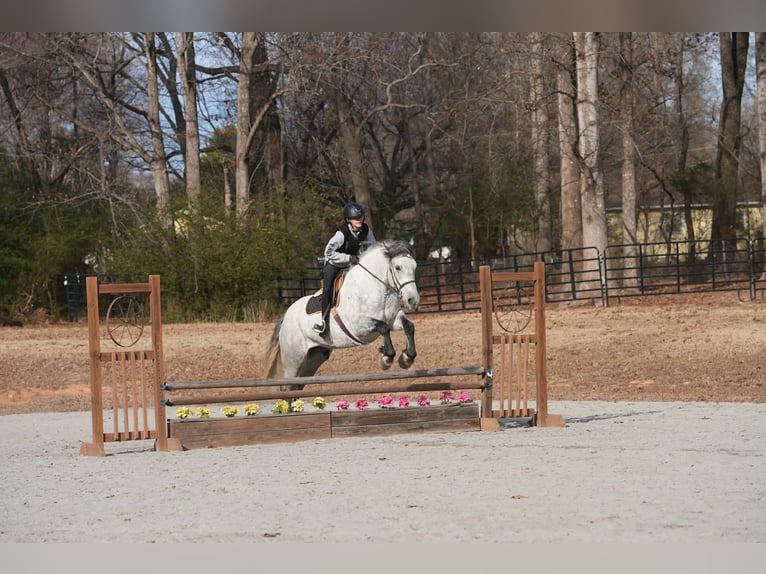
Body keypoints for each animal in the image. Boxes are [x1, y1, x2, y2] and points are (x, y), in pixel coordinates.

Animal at [263, 239, 420, 391]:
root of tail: (286, 316)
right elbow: (383, 327)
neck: (376, 289)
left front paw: (407, 358)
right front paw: (386, 359)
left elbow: (408, 326)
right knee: (286, 386)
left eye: (414, 266)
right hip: (294, 358)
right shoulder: (357, 326)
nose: (413, 300)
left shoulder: (393, 319)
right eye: (398, 267)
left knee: (296, 386)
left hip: (314, 358)